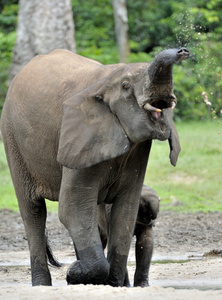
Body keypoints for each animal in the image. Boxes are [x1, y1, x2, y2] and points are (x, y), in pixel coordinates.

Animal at [0, 47, 189, 286]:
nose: (182, 50)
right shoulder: (78, 138)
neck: (105, 82)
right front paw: (73, 274)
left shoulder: (137, 153)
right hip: (12, 139)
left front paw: (112, 284)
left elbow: (125, 212)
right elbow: (72, 209)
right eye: (126, 86)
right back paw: (43, 285)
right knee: (33, 211)